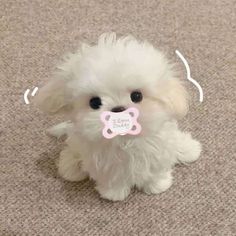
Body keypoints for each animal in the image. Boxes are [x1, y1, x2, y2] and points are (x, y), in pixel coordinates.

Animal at [35, 32, 201, 201]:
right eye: (94, 102)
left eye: (137, 96)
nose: (118, 109)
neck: (126, 140)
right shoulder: (105, 165)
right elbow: (112, 179)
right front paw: (114, 194)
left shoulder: (158, 151)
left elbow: (156, 170)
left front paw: (157, 185)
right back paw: (71, 167)